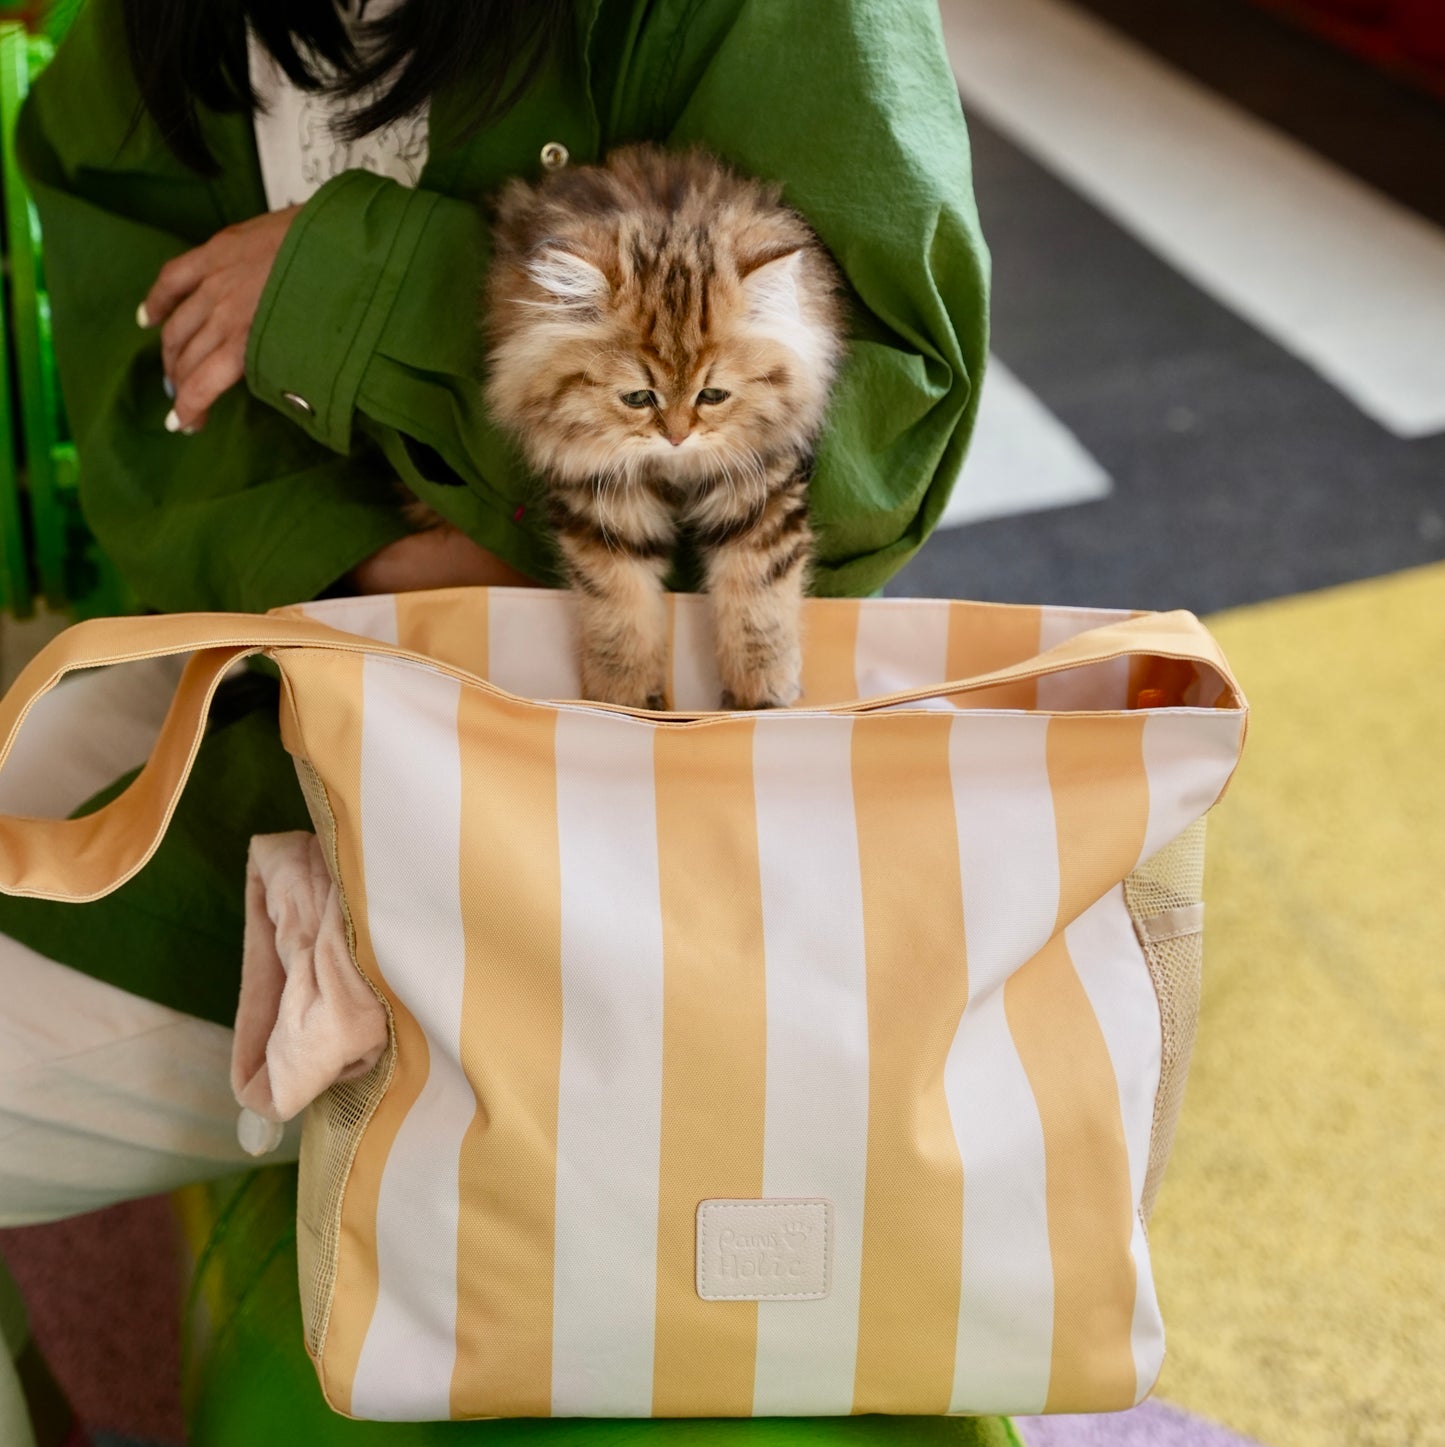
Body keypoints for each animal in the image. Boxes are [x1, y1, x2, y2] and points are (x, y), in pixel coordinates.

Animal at [486, 142, 844, 711]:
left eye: (712, 395)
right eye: (638, 398)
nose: (676, 436)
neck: (673, 470)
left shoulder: (758, 486)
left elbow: (759, 598)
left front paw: (761, 697)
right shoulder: (604, 499)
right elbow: (620, 604)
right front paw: (625, 700)